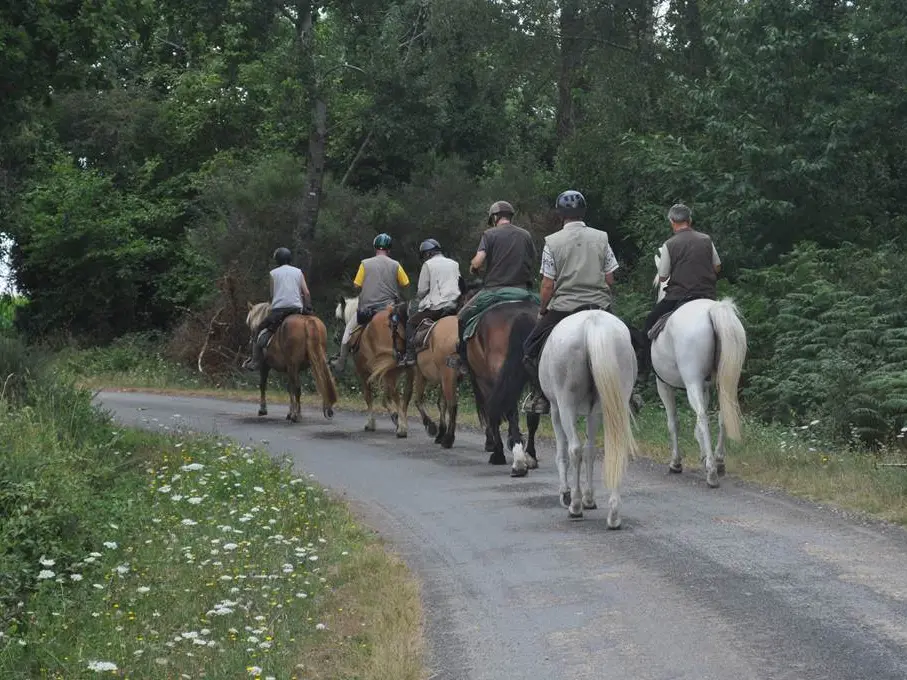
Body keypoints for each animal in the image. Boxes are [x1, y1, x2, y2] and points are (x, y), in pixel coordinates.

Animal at [336, 296, 414, 436]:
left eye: (339, 319)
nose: (335, 337)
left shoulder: (364, 372)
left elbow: (369, 396)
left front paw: (371, 423)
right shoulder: (386, 371)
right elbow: (385, 395)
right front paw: (395, 416)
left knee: (395, 394)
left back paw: (402, 429)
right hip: (408, 370)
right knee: (406, 394)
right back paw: (402, 423)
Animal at [412, 314, 462, 452]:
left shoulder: (420, 373)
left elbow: (418, 400)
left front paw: (431, 427)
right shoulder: (442, 380)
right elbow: (441, 404)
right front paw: (440, 433)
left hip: (448, 376)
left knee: (453, 405)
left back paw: (449, 439)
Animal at [510, 310, 640, 528]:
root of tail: (593, 324)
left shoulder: (555, 409)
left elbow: (563, 453)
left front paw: (566, 494)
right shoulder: (594, 412)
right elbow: (591, 451)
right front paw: (589, 498)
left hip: (566, 405)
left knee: (574, 449)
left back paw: (575, 506)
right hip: (611, 400)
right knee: (610, 449)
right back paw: (613, 514)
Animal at [652, 252, 752, 486]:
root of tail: (713, 310)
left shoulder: (664, 385)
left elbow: (673, 422)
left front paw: (676, 462)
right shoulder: (706, 386)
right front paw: (704, 455)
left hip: (690, 383)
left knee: (702, 417)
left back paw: (712, 473)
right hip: (726, 381)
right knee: (723, 415)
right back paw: (719, 461)